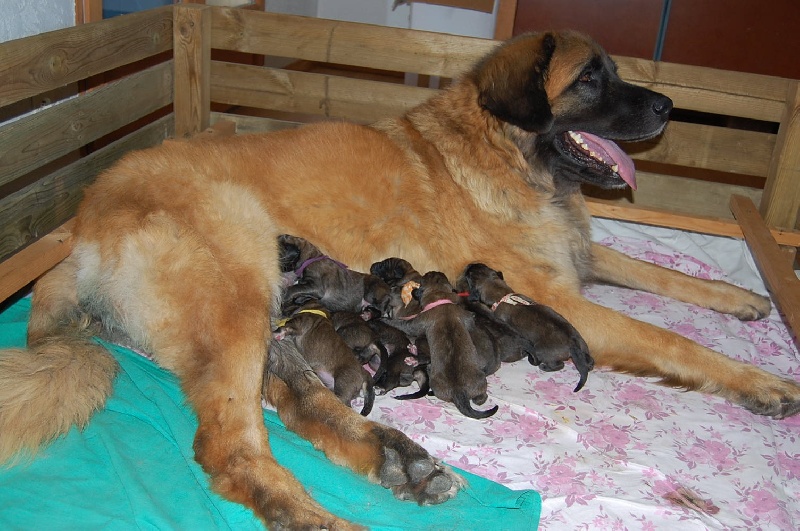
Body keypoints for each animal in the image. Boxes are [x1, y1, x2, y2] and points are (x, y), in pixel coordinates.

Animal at [456, 264, 592, 392]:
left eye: (469, 275)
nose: (470, 265)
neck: (501, 294)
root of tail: (573, 344)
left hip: (541, 351)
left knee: (559, 365)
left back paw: (545, 367)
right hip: (583, 348)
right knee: (588, 363)